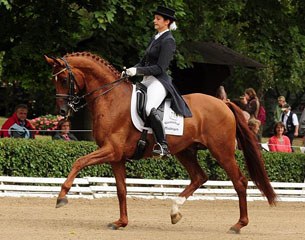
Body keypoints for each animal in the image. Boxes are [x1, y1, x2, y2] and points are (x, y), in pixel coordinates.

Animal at [45, 52, 276, 232]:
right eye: (54, 80)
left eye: (64, 79)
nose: (63, 112)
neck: (110, 99)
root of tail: (224, 103)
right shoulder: (116, 157)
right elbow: (121, 190)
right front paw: (121, 222)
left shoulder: (111, 150)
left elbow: (79, 161)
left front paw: (61, 197)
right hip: (185, 151)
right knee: (199, 177)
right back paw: (175, 212)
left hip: (222, 151)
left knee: (239, 181)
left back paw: (238, 224)